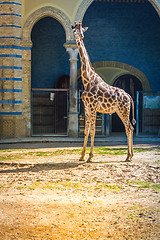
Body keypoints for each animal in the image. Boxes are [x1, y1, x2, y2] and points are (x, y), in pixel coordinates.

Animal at [72, 23, 136, 161]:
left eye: (82, 30)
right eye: (74, 29)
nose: (80, 36)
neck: (88, 80)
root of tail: (129, 96)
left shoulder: (93, 106)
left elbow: (93, 131)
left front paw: (90, 157)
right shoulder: (86, 107)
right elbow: (85, 131)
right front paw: (82, 156)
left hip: (123, 110)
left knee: (128, 128)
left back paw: (128, 156)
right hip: (121, 111)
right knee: (130, 127)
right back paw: (130, 155)